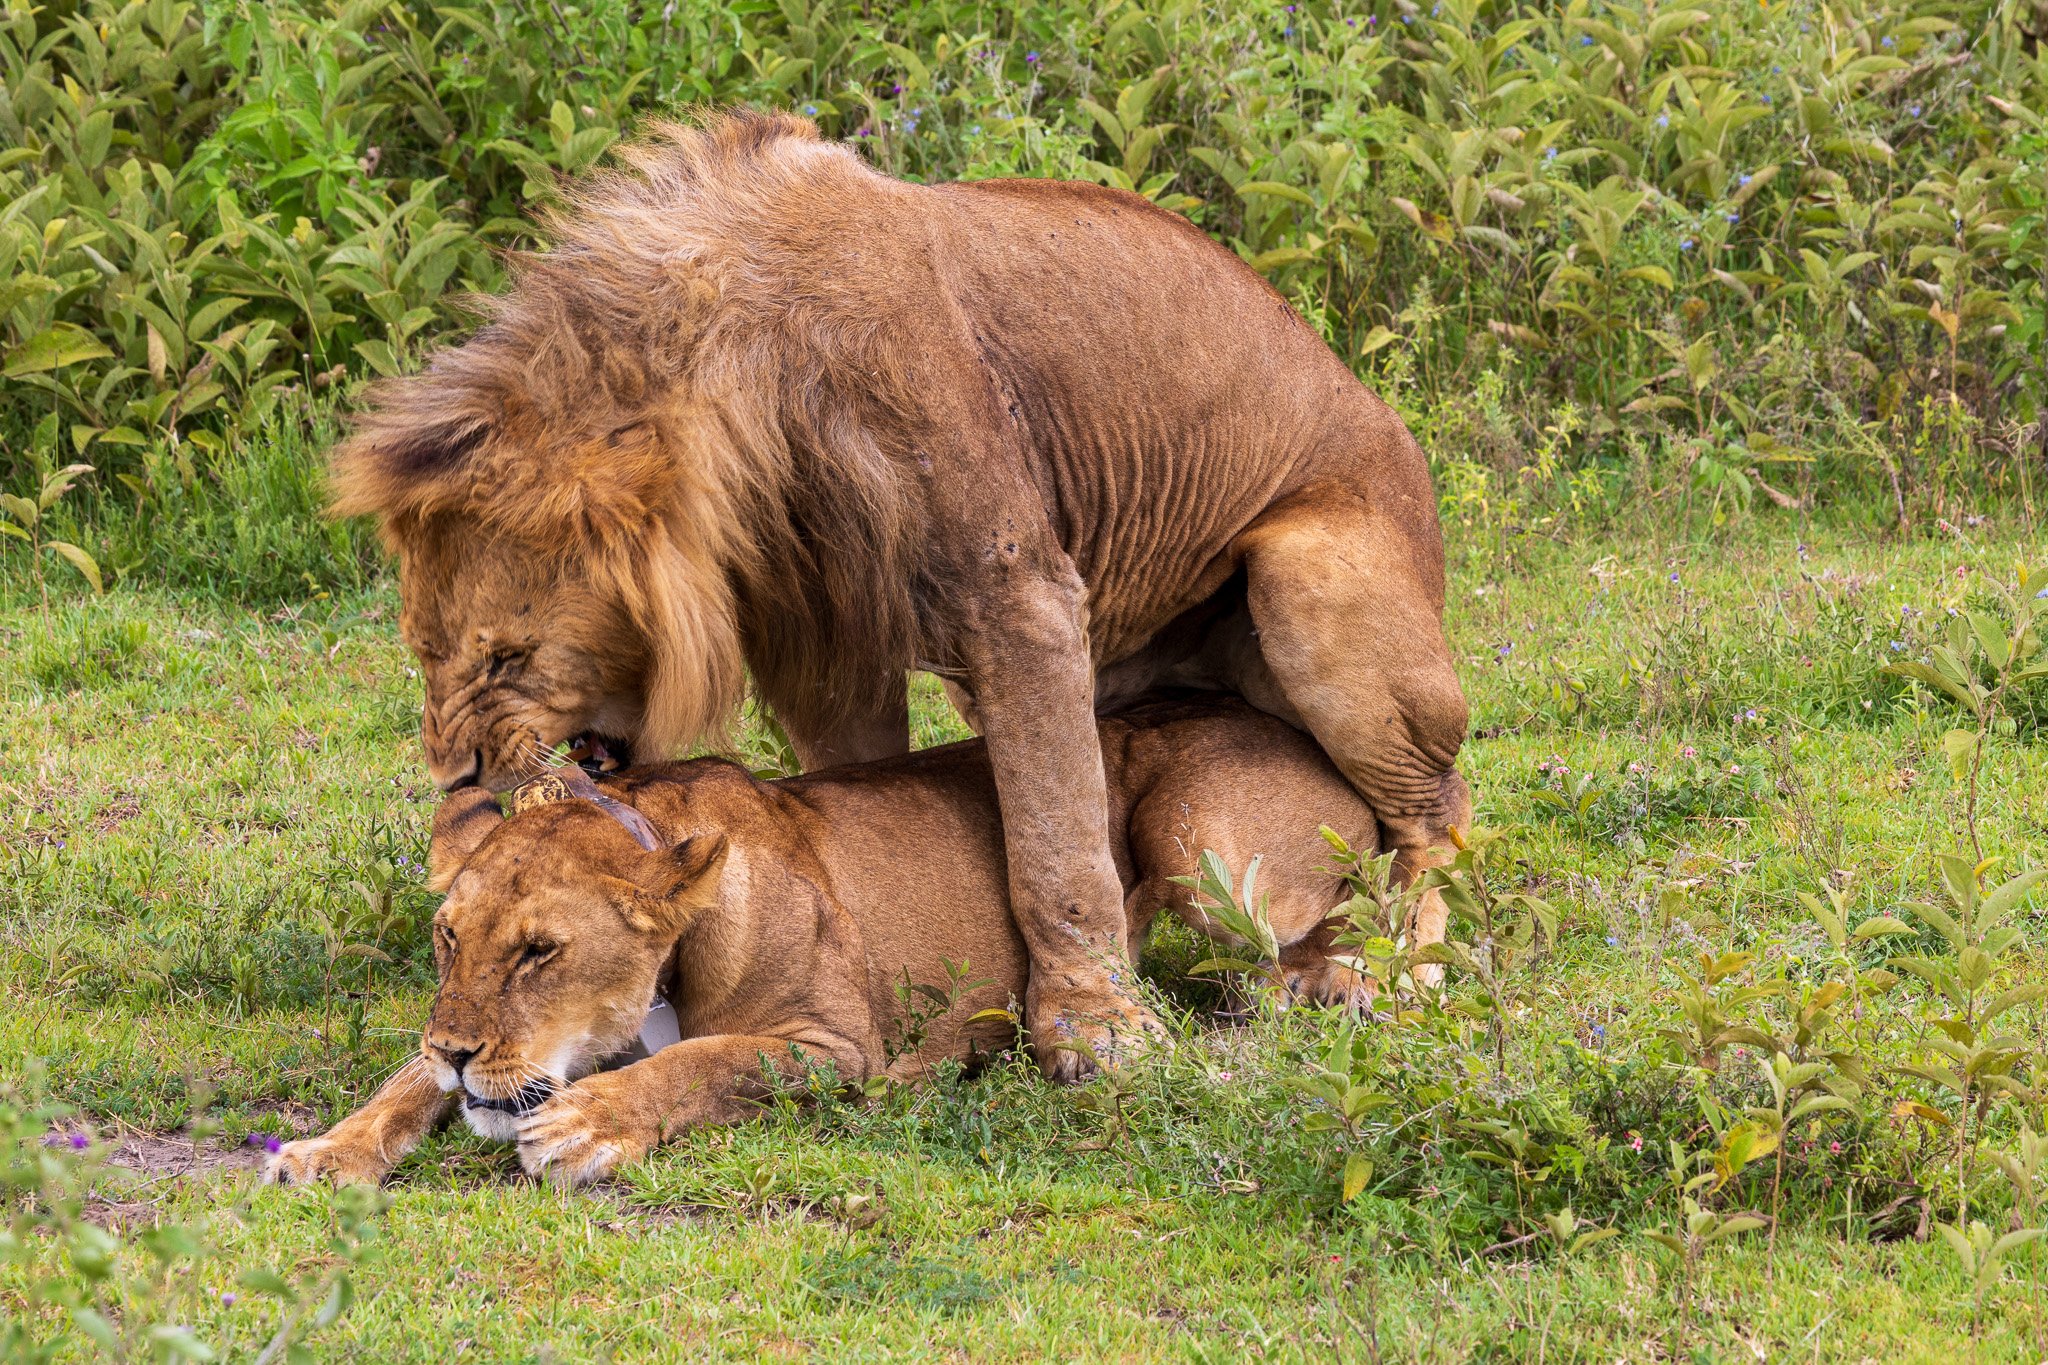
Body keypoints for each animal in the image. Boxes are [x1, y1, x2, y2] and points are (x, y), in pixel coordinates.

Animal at [268, 699, 1409, 1186]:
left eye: (539, 952)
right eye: (447, 937)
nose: (462, 1050)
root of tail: (1307, 735)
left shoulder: (834, 1046)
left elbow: (704, 1060)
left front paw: (589, 1124)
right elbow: (402, 1084)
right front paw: (328, 1148)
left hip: (1191, 833)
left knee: (1358, 915)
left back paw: (1329, 992)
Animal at [323, 109, 1474, 1080]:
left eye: (507, 657)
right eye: (421, 652)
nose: (462, 776)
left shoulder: (1021, 596)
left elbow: (1057, 848)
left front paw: (1095, 1034)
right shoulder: (826, 644)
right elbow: (863, 801)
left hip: (1309, 577)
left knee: (1436, 813)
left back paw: (1387, 975)